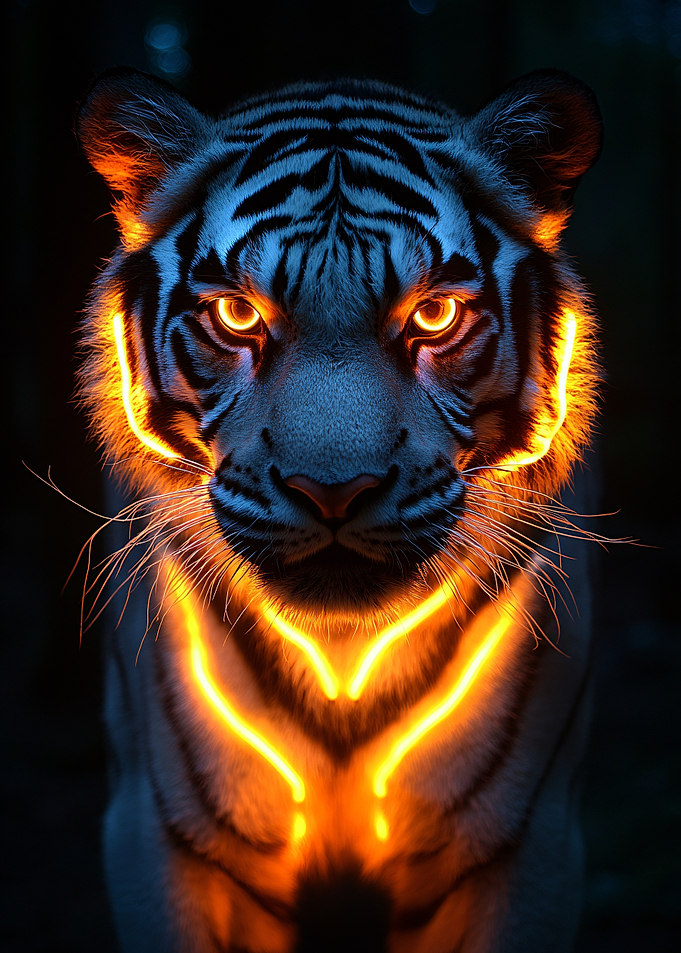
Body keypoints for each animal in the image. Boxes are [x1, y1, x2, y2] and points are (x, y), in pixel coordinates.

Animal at [76, 66, 603, 952]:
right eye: (237, 315)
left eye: (433, 314)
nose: (333, 490)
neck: (342, 663)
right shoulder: (156, 829)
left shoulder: (528, 841)